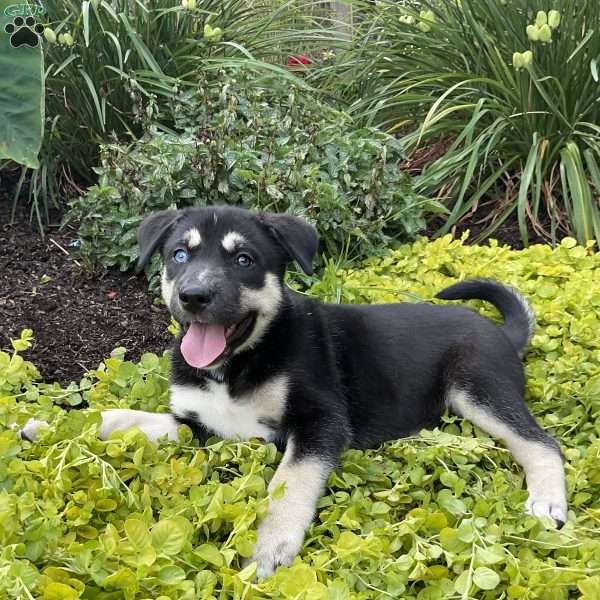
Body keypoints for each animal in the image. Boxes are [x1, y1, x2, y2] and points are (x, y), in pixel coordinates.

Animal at [22, 205, 568, 576]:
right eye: (179, 255)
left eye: (244, 259)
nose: (193, 296)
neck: (238, 363)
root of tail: (503, 334)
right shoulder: (195, 425)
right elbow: (121, 416)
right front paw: (46, 426)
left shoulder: (319, 422)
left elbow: (290, 482)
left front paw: (270, 546)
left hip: (477, 387)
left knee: (541, 442)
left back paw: (547, 502)